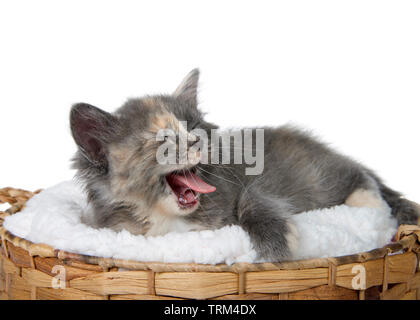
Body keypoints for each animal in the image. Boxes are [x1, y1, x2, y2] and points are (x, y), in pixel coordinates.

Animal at [70, 69, 418, 262]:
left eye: (195, 127)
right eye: (163, 138)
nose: (196, 142)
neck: (168, 219)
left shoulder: (247, 181)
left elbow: (253, 200)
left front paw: (277, 248)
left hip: (318, 175)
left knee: (359, 175)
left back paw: (369, 202)